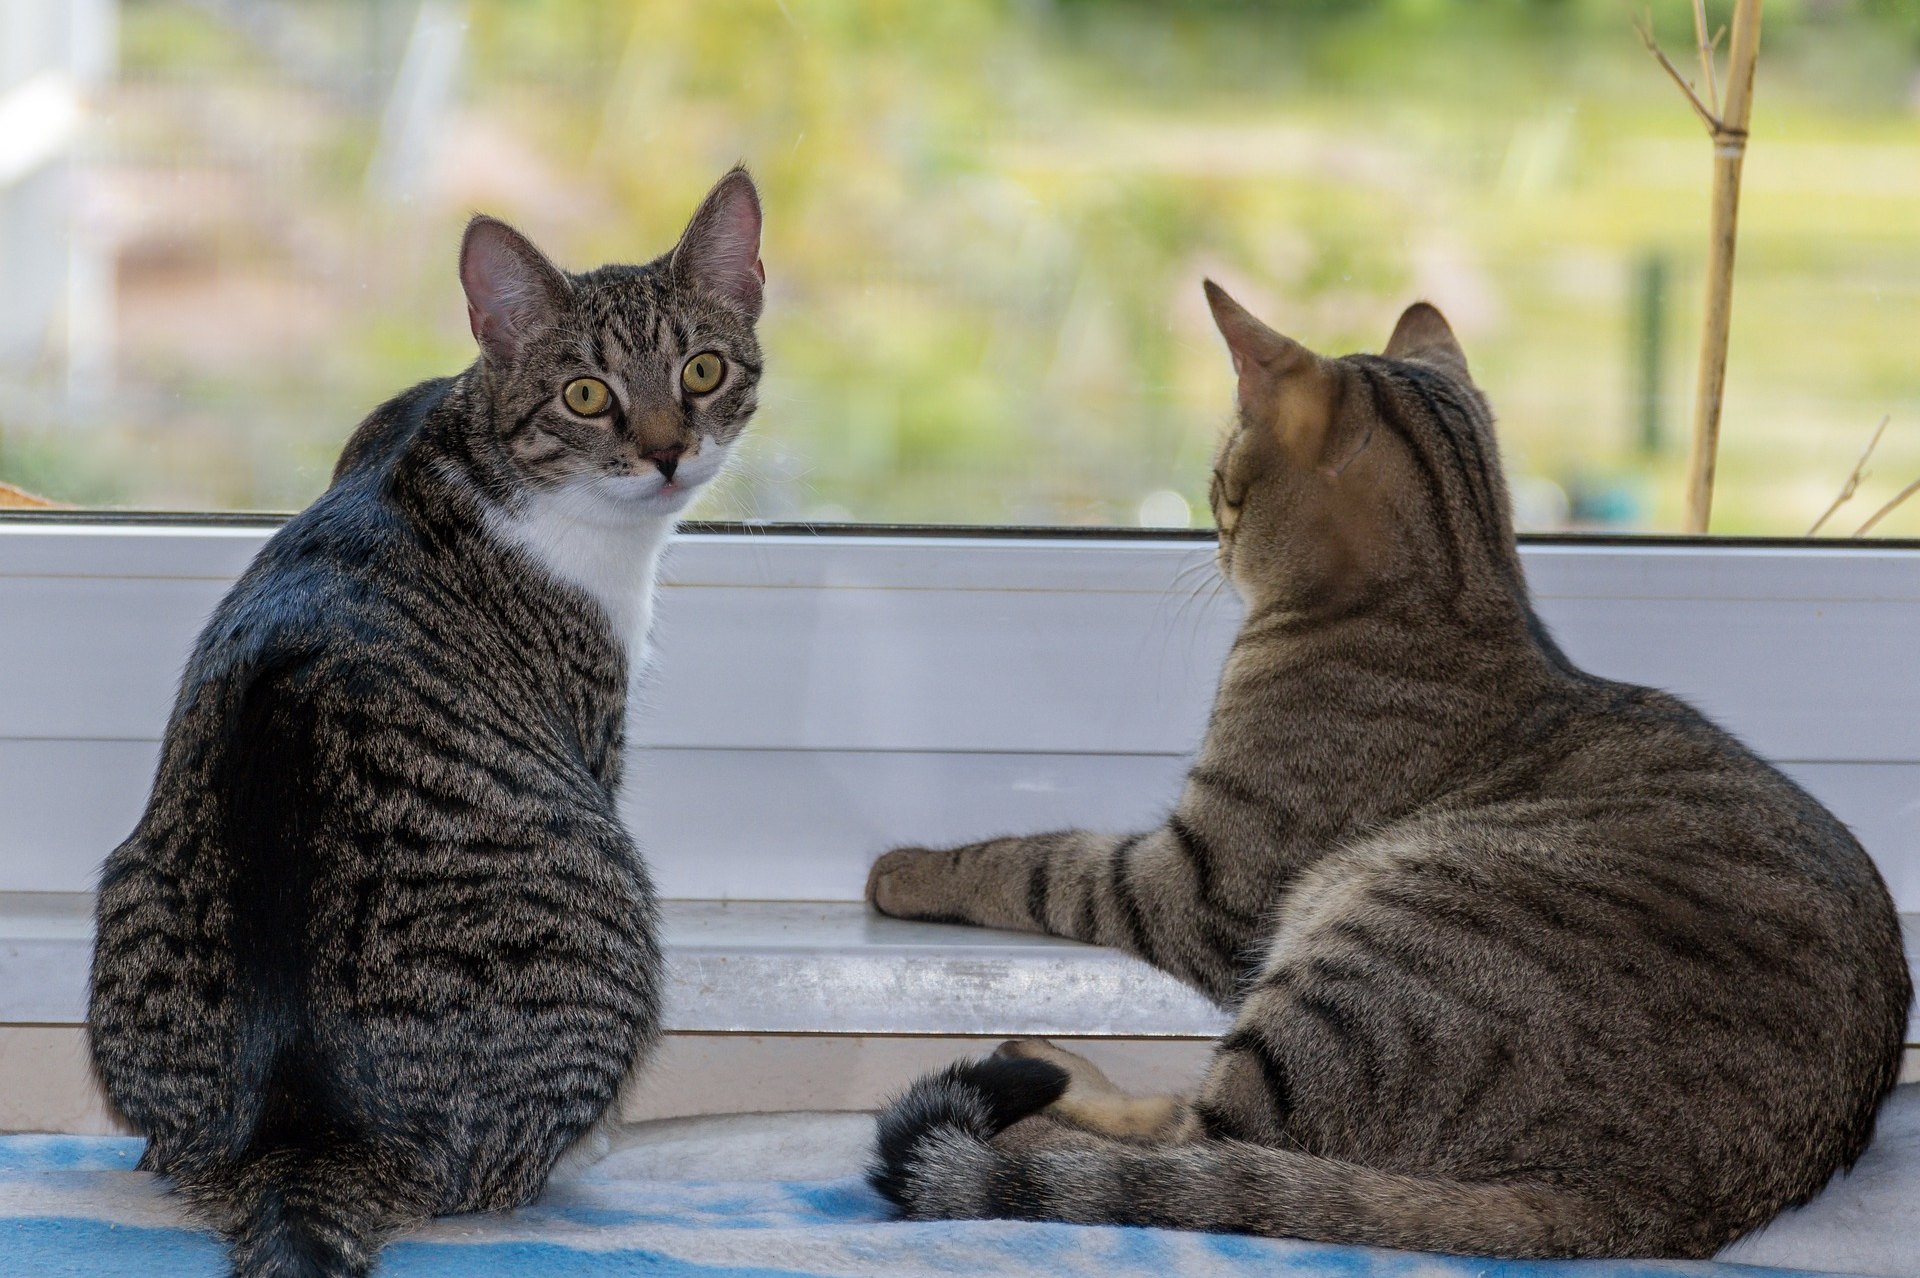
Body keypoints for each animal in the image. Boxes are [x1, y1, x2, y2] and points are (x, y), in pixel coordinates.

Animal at [88, 171, 764, 1274]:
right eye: (587, 393)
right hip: (611, 903)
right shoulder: (596, 727)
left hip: (129, 894)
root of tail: (308, 1133)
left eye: (702, 370)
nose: (668, 454)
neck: (470, 446)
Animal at [867, 282, 1904, 1251]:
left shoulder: (1198, 881)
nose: (1212, 530)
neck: (1451, 589)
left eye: (1220, 480)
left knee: (1196, 1148)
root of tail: (1651, 1207)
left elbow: (1035, 861)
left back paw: (1030, 1106)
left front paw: (906, 869)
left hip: (1379, 943)